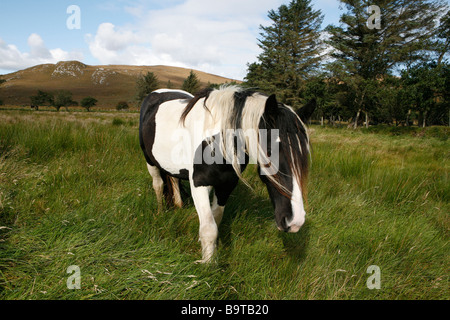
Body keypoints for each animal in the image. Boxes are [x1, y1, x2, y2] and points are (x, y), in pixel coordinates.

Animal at [139, 85, 314, 262]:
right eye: (270, 151)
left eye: (305, 152)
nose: (295, 221)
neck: (216, 144)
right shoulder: (199, 184)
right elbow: (209, 229)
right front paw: (208, 263)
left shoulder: (227, 185)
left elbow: (215, 219)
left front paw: (210, 252)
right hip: (150, 161)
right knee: (158, 185)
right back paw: (160, 212)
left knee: (173, 181)